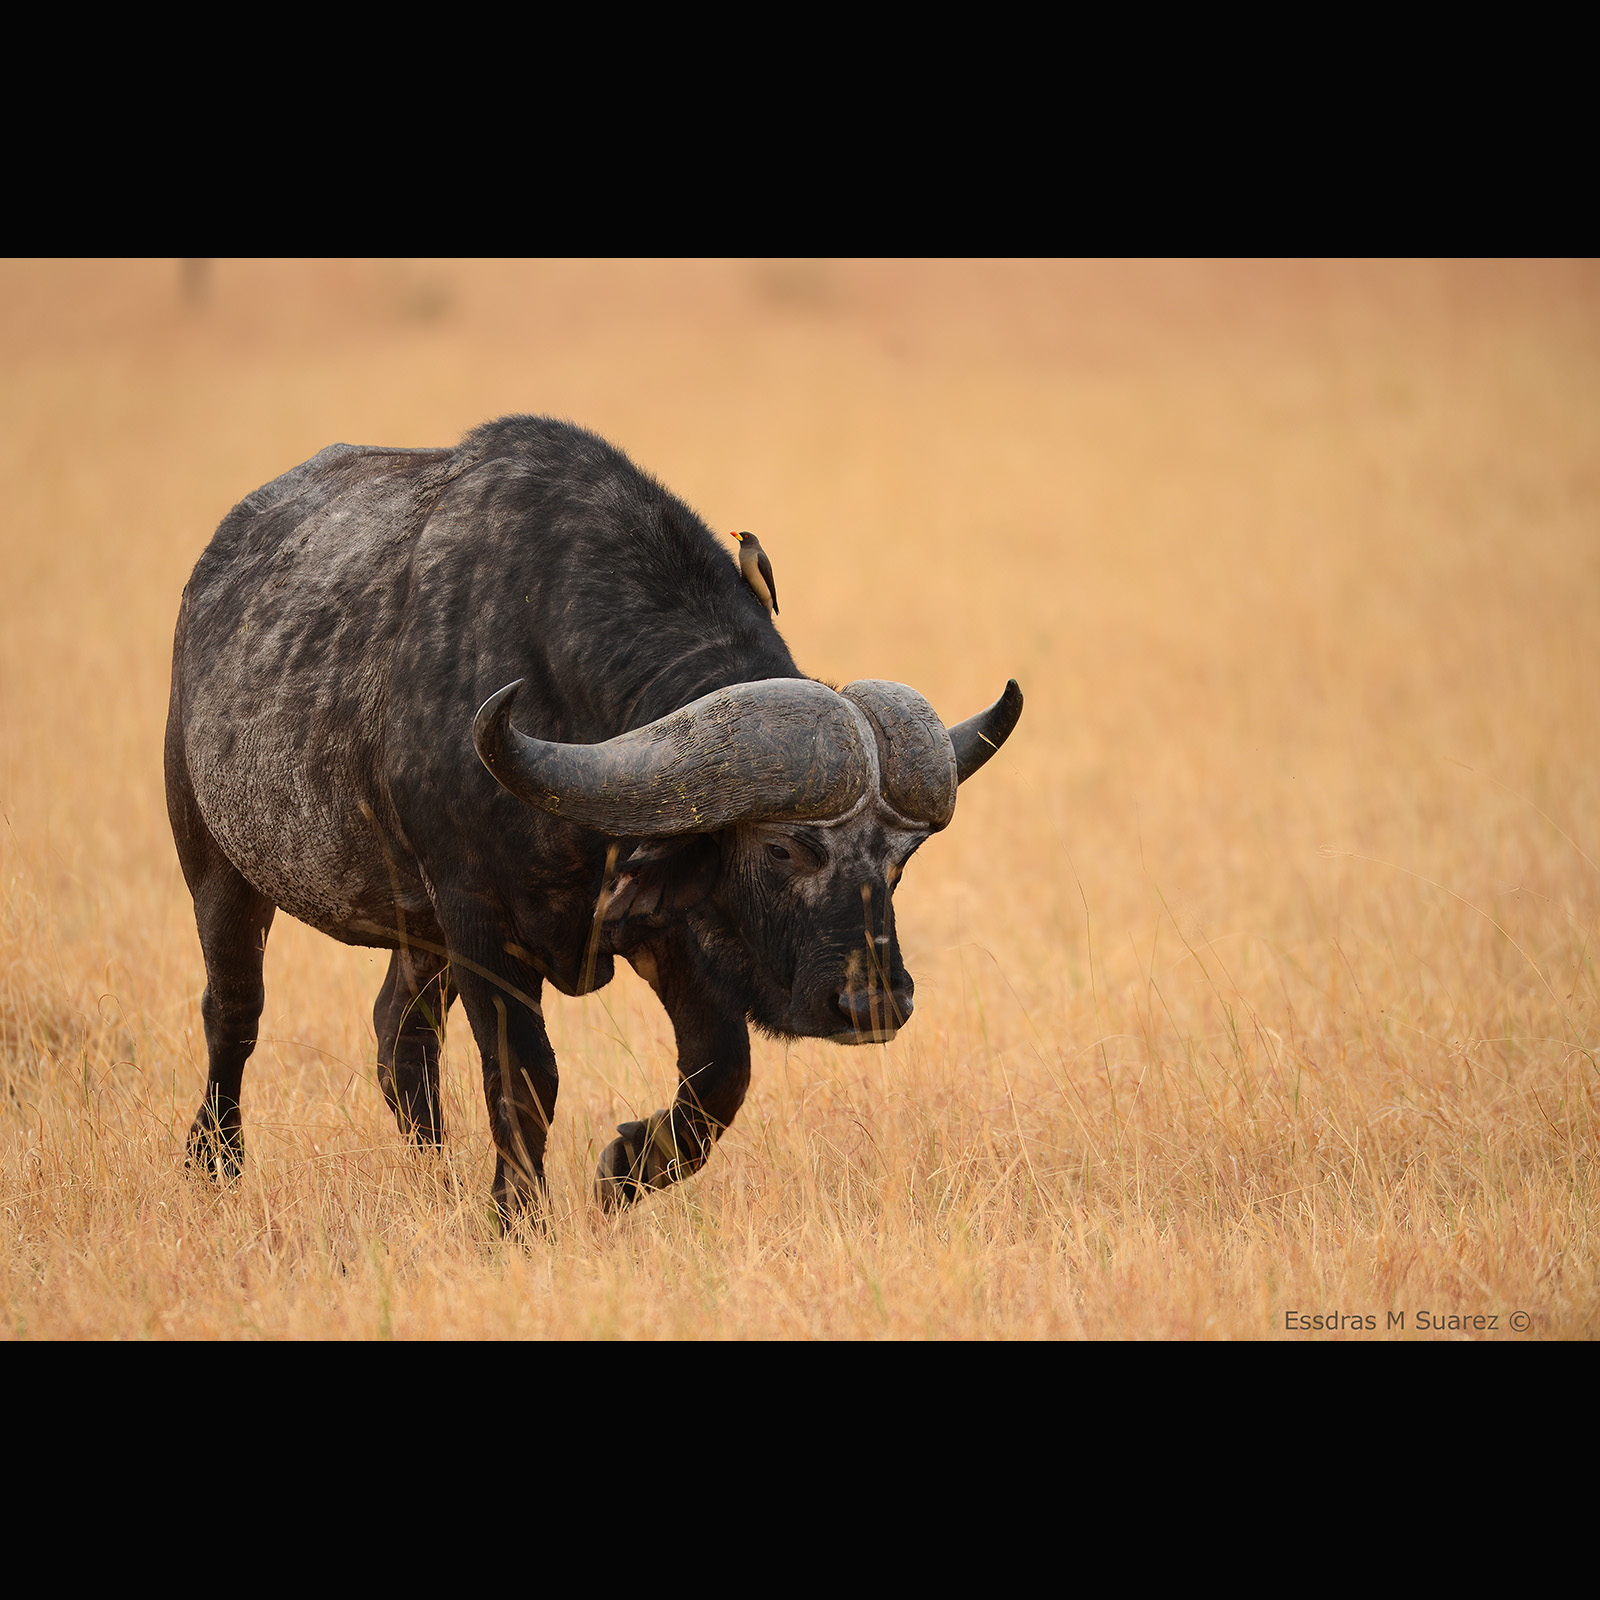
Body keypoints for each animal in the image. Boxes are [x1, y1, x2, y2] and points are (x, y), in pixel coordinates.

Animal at [168, 416, 1024, 1222]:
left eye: (902, 857)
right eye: (785, 849)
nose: (874, 1003)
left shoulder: (666, 927)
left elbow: (721, 1073)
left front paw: (623, 1169)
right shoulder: (479, 919)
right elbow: (525, 1077)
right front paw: (517, 1220)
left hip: (418, 932)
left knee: (398, 1035)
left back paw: (434, 1179)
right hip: (216, 864)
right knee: (234, 1012)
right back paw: (215, 1164)